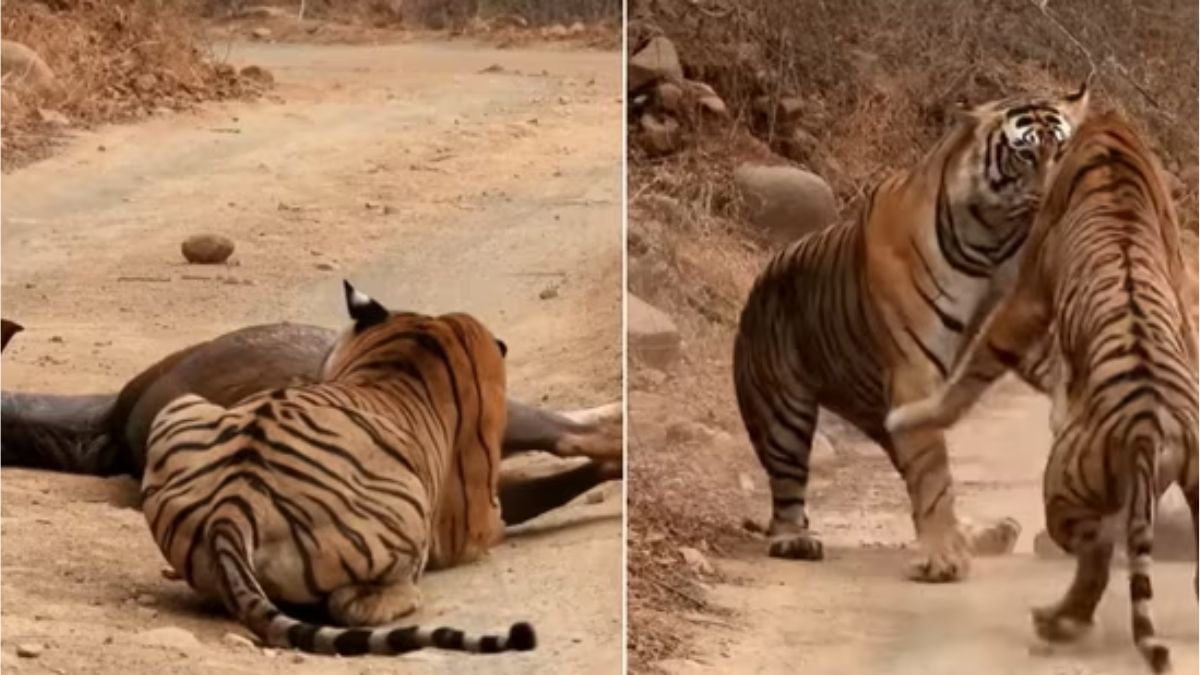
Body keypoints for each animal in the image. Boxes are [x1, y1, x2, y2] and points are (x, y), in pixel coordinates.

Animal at [138, 281, 537, 653]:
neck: (413, 340)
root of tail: (231, 509)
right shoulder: (471, 523)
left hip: (180, 406)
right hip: (407, 506)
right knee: (354, 605)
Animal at [729, 81, 1089, 581]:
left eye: (1066, 150)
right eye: (1026, 155)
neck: (994, 242)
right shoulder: (915, 370)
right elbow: (934, 476)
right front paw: (941, 558)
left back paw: (989, 532)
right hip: (783, 414)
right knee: (787, 497)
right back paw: (795, 540)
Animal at [888, 111, 1195, 672]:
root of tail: (1147, 427)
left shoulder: (1025, 295)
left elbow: (970, 373)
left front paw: (910, 416)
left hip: (1062, 491)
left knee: (1096, 554)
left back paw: (1056, 623)